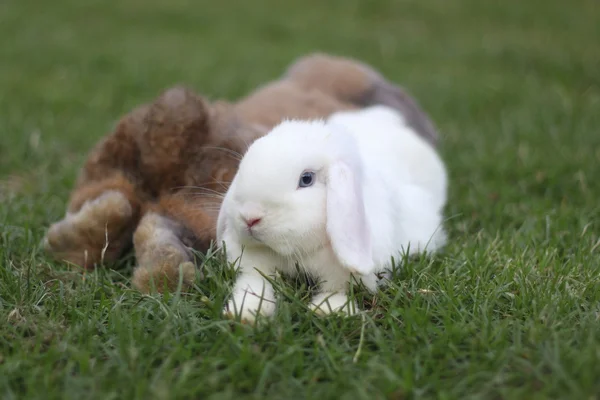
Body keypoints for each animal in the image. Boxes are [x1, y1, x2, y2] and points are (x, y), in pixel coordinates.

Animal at [216, 105, 446, 322]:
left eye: (306, 179)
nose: (250, 217)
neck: (298, 253)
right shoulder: (254, 265)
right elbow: (254, 284)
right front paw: (244, 313)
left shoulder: (341, 274)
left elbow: (336, 290)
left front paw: (328, 311)